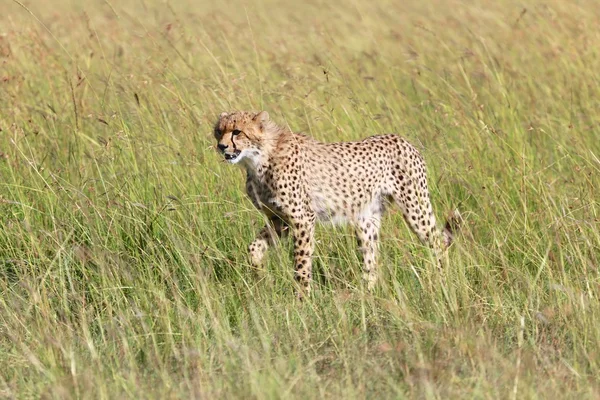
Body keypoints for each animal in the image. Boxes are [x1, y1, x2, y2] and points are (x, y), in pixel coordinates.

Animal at [213, 111, 462, 298]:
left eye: (237, 131)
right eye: (218, 131)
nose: (222, 146)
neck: (258, 158)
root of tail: (402, 139)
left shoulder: (302, 219)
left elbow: (301, 262)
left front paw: (303, 299)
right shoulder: (279, 220)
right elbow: (254, 247)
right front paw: (259, 274)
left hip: (414, 208)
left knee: (438, 242)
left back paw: (441, 283)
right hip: (366, 220)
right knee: (371, 260)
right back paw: (365, 295)